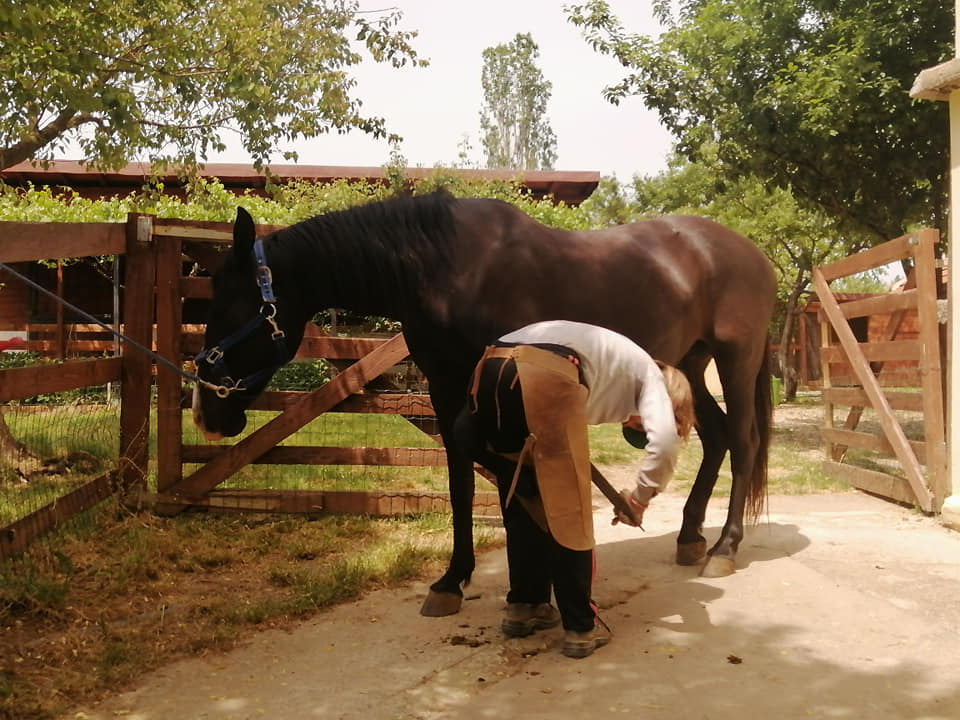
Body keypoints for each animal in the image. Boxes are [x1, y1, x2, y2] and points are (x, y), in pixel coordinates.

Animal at [192, 191, 776, 617]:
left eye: (230, 305)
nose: (205, 411)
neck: (445, 268)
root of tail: (751, 253)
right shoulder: (448, 387)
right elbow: (462, 482)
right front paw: (453, 581)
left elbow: (509, 473)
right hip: (692, 362)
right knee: (717, 436)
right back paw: (690, 536)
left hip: (736, 359)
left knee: (743, 440)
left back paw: (724, 548)